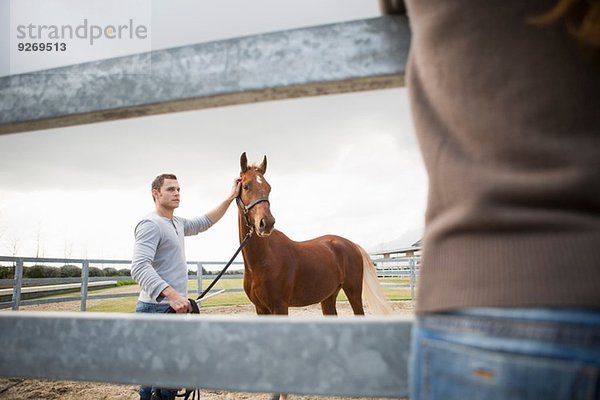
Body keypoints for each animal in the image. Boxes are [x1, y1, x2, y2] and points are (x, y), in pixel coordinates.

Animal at [237, 154, 392, 318]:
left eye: (269, 188)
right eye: (246, 186)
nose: (267, 223)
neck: (263, 260)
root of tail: (352, 245)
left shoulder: (280, 307)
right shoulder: (261, 309)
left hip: (353, 292)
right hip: (329, 296)